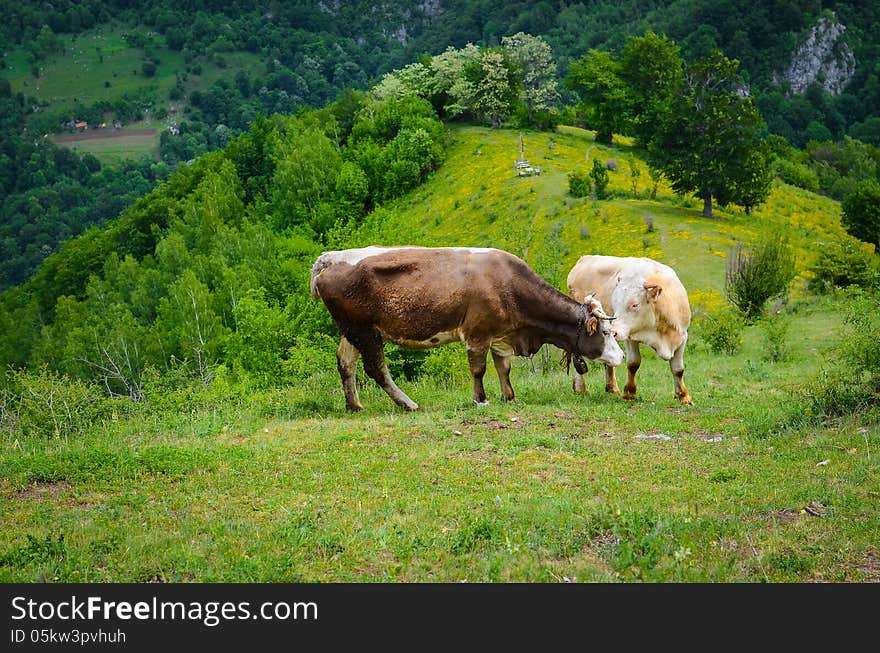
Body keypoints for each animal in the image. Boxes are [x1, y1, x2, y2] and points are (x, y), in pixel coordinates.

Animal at [312, 247, 624, 410]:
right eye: (605, 332)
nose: (621, 356)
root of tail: (330, 258)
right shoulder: (477, 334)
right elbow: (479, 369)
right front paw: (481, 399)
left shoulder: (501, 335)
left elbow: (503, 367)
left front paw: (509, 396)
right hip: (365, 330)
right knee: (375, 368)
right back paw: (408, 403)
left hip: (350, 330)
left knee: (345, 363)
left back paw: (354, 405)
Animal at [568, 253, 692, 402]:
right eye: (615, 303)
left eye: (634, 305)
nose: (613, 332)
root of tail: (584, 259)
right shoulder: (630, 336)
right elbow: (633, 363)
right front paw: (629, 392)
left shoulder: (682, 335)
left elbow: (678, 369)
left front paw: (683, 396)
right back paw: (580, 388)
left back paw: (612, 388)